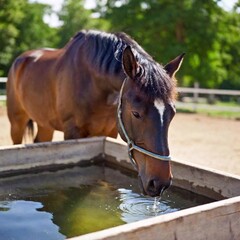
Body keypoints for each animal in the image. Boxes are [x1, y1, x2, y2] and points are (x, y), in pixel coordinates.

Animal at [7, 29, 184, 197]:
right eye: (136, 113)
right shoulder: (72, 133)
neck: (92, 83)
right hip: (16, 122)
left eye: (172, 114)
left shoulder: (110, 132)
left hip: (45, 124)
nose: (159, 183)